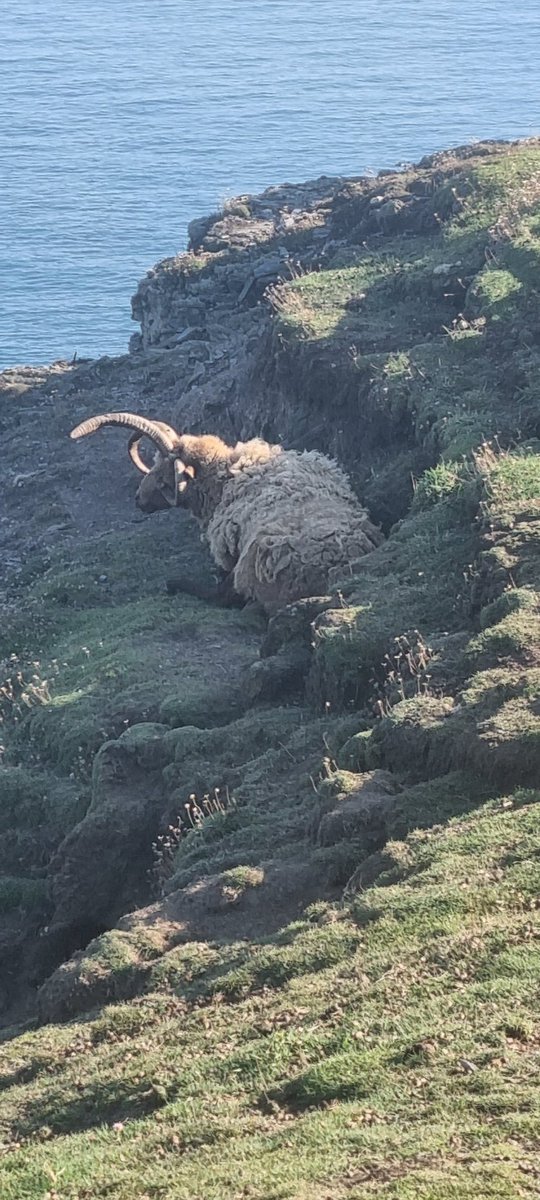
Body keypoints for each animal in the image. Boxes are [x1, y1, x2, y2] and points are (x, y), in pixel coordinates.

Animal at [70, 417, 384, 614]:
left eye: (163, 477)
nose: (138, 499)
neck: (224, 478)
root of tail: (333, 564)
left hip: (253, 561)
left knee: (225, 596)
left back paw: (178, 584)